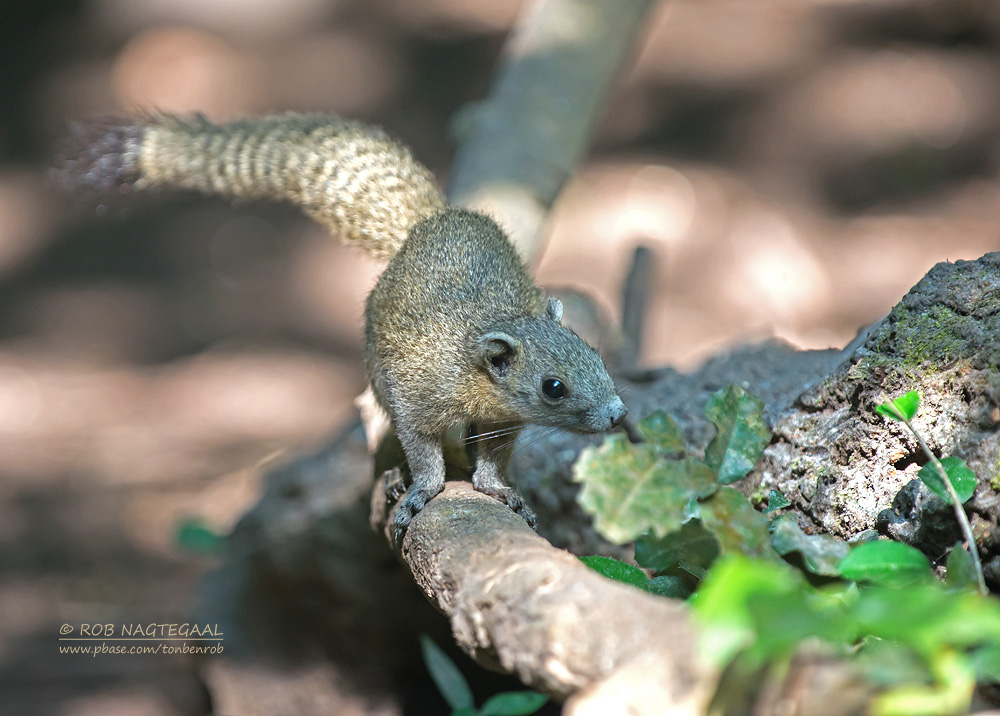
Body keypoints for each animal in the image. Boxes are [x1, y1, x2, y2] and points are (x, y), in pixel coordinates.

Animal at [56, 112, 624, 536]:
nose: (618, 414)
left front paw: (500, 489)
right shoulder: (416, 391)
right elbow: (423, 450)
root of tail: (427, 224)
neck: (473, 366)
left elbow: (493, 458)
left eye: (595, 354)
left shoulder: (501, 418)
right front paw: (421, 487)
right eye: (553, 386)